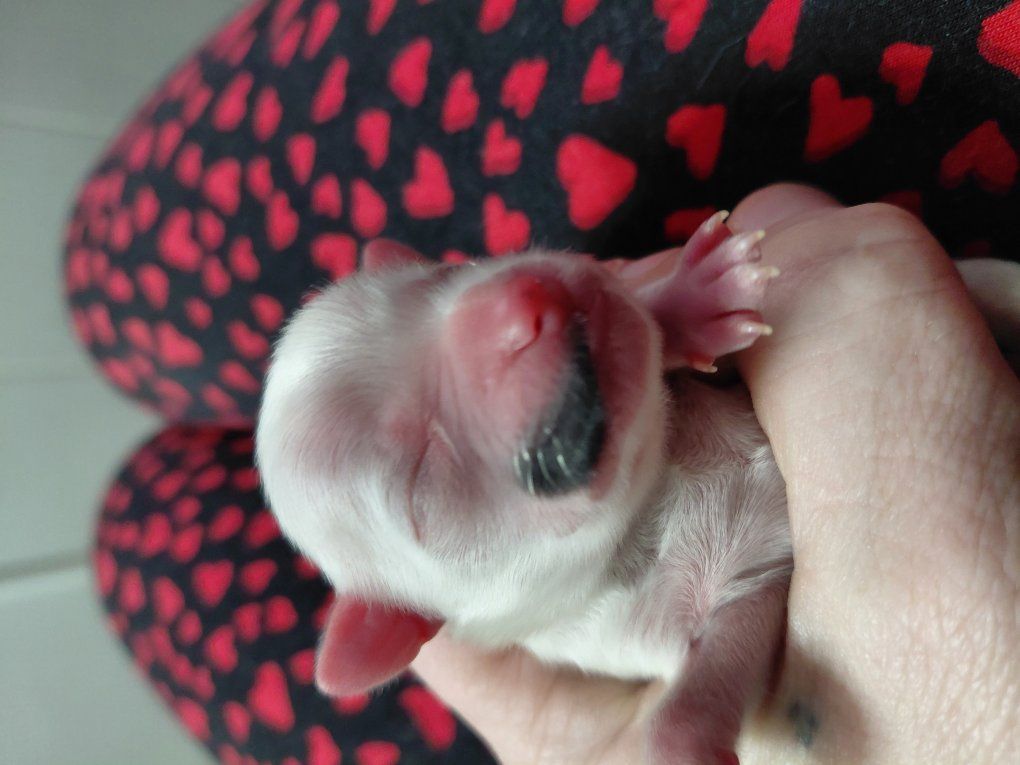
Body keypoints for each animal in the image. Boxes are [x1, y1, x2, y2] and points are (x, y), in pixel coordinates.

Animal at [256, 211, 791, 764]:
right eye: (420, 472)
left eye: (443, 274)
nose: (523, 295)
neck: (651, 498)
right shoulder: (655, 627)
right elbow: (682, 713)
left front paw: (696, 295)